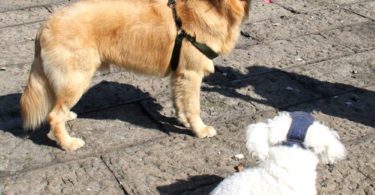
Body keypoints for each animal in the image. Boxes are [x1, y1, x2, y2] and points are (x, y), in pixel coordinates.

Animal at [19, 0, 250, 151]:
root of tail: (43, 26)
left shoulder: (179, 75)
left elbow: (180, 103)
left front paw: (183, 121)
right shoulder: (191, 74)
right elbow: (193, 107)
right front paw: (199, 130)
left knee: (58, 108)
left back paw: (68, 117)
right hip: (76, 79)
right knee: (53, 116)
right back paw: (68, 143)